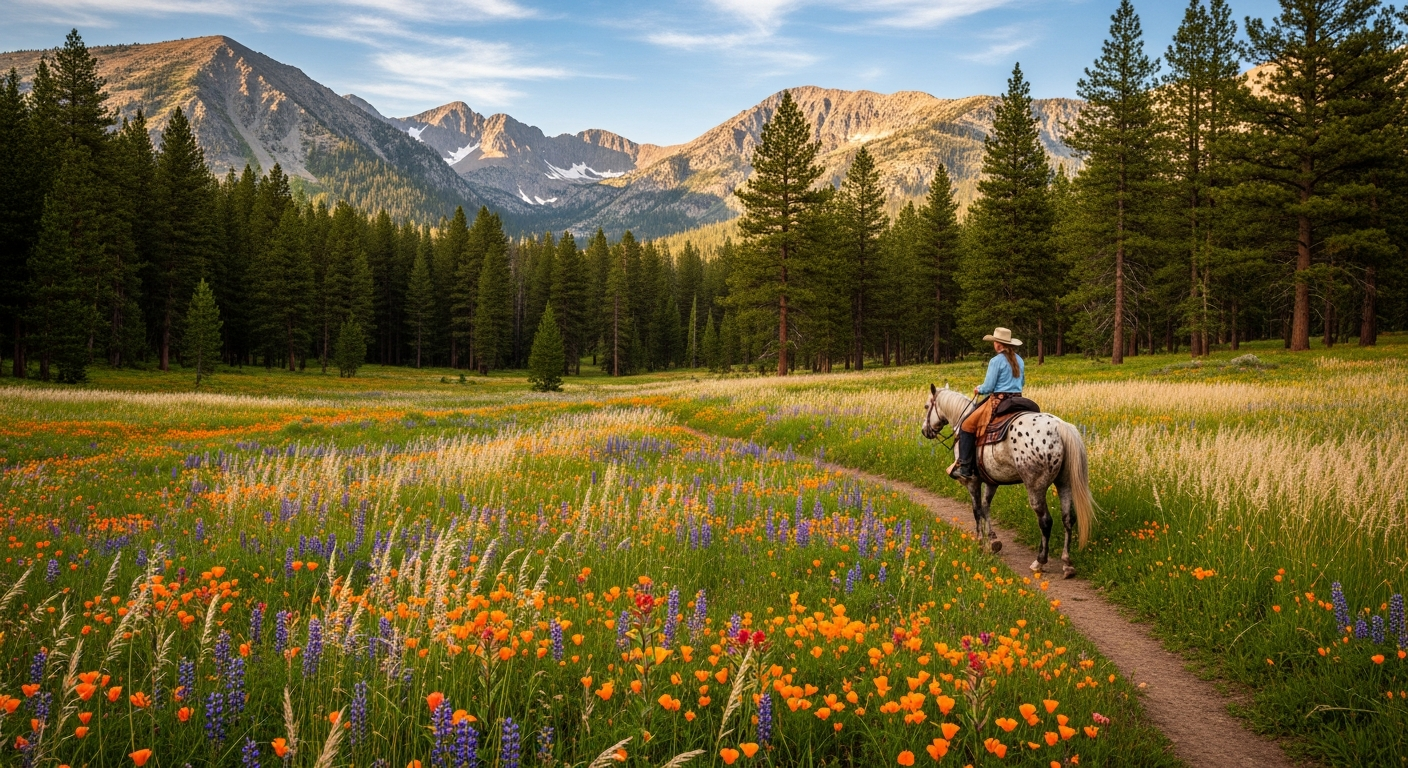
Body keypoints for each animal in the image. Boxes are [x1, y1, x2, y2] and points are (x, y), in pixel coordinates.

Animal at [920, 384, 1096, 578]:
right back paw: (1067, 563)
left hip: (1035, 486)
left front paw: (980, 542)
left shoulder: (972, 481)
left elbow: (976, 510)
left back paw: (1039, 561)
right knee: (1068, 518)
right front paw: (993, 540)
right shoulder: (992, 482)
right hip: (1064, 483)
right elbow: (986, 507)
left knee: (1045, 521)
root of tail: (1061, 427)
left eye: (927, 406)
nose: (924, 431)